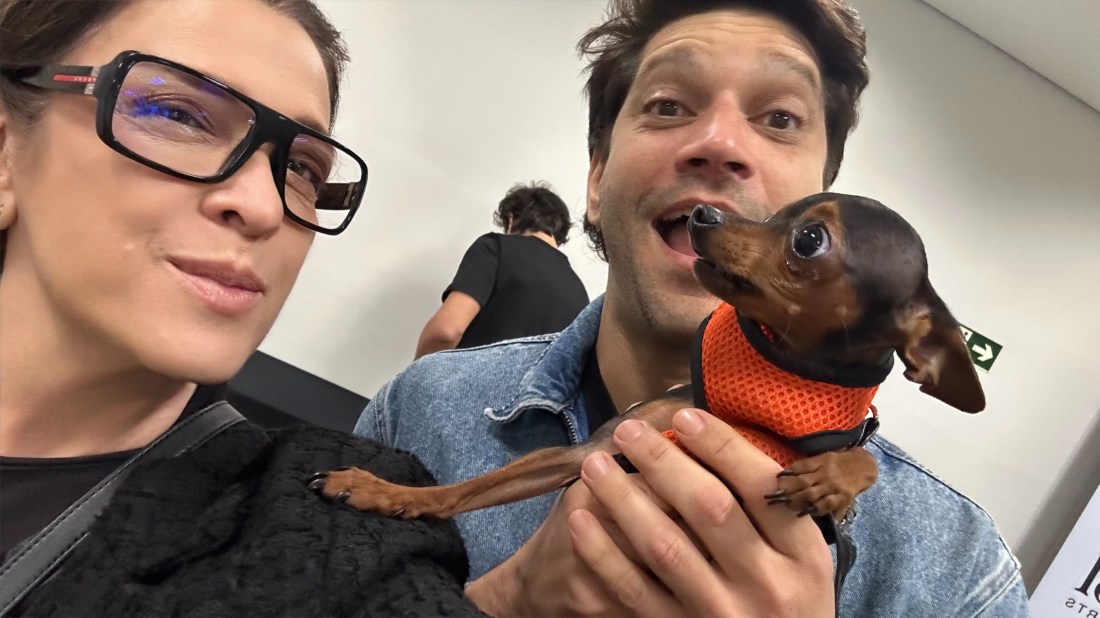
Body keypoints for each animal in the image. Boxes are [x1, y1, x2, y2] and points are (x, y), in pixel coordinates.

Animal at [308, 192, 985, 527]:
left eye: (809, 238)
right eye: (777, 212)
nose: (704, 213)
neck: (762, 392)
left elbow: (863, 461)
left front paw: (834, 476)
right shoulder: (594, 452)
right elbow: (469, 489)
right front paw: (379, 490)